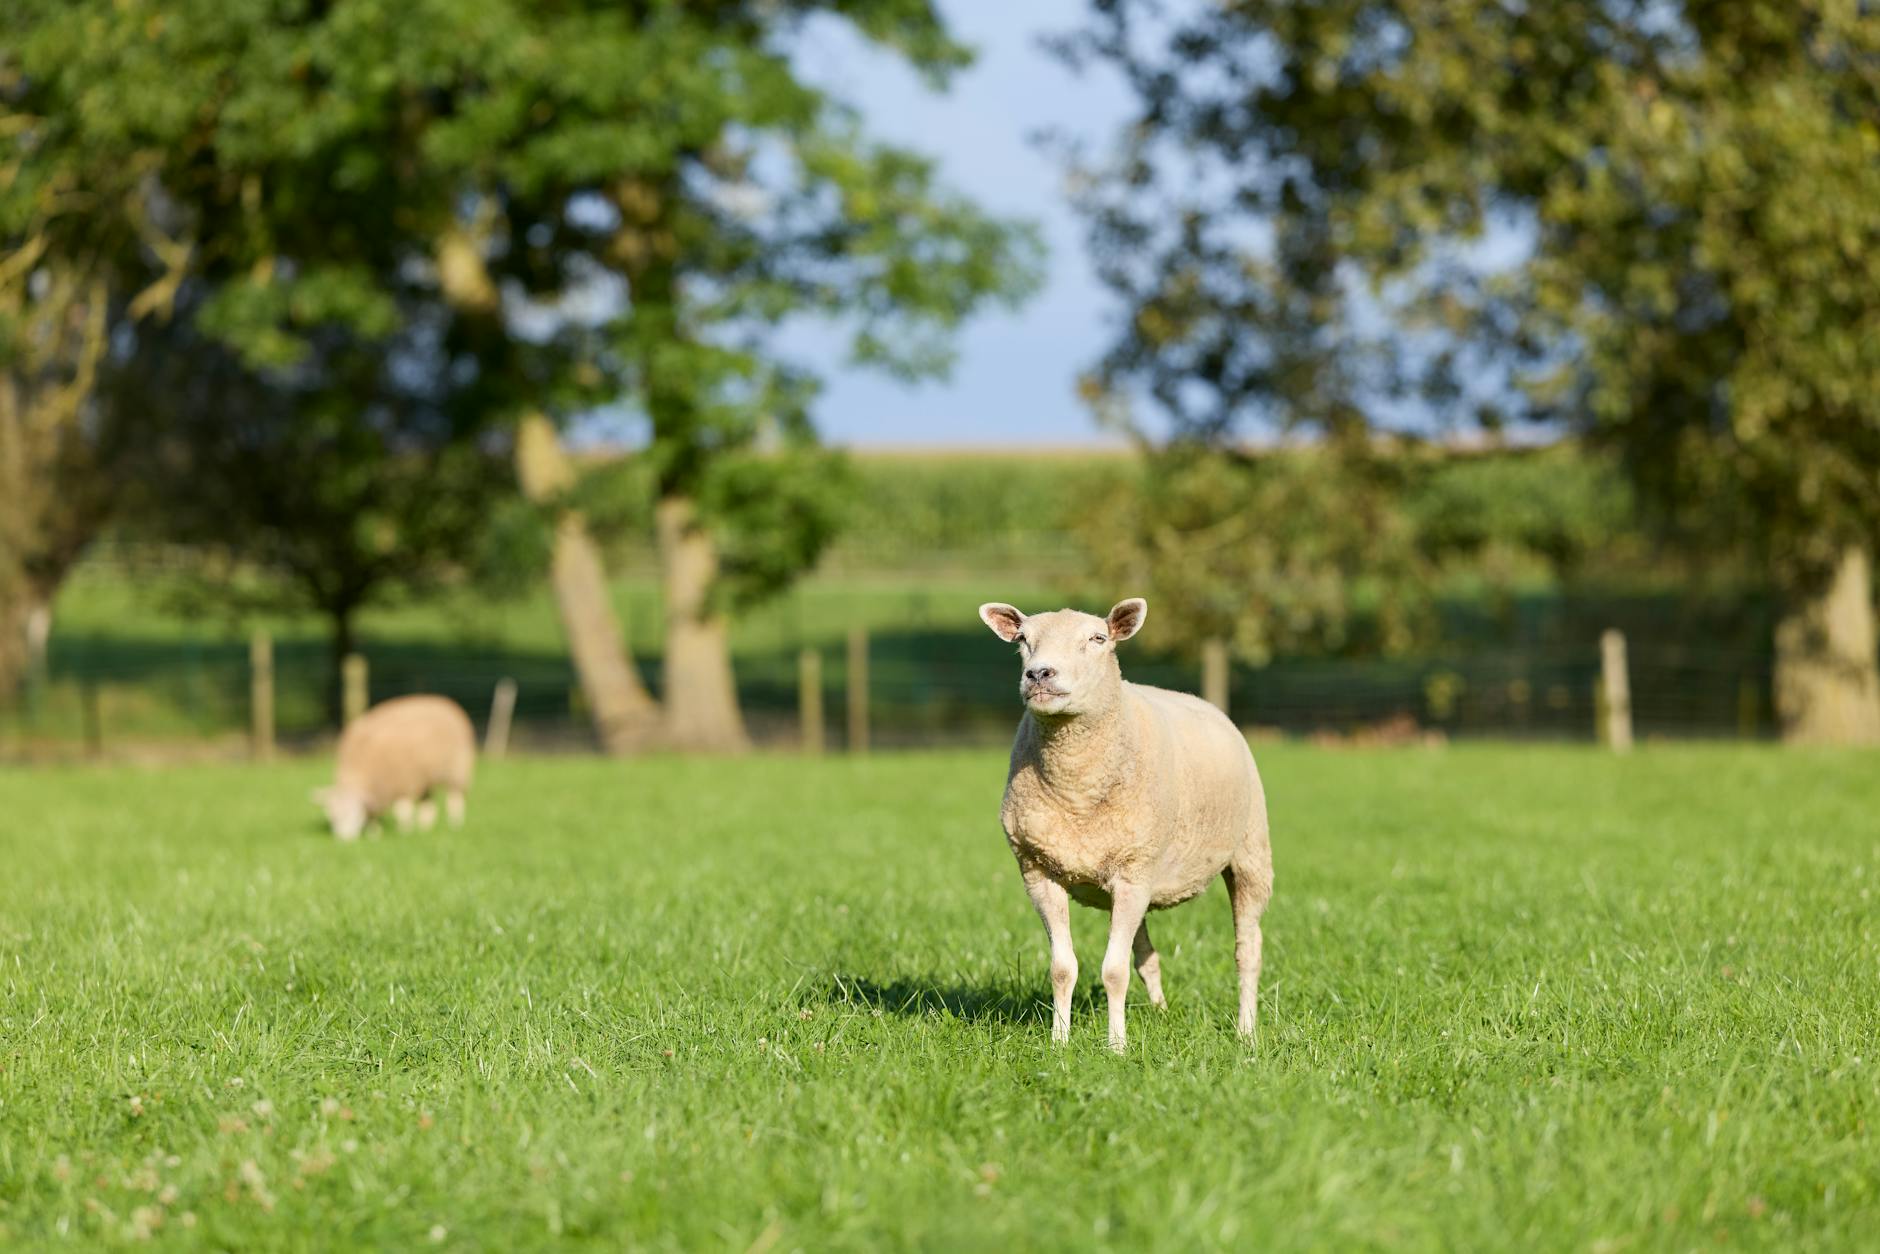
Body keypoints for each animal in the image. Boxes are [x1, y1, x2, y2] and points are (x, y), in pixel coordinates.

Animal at [312, 695, 476, 841]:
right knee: (428, 804)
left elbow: (403, 812)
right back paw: (425, 828)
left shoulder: (404, 782)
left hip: (457, 770)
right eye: (332, 815)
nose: (343, 840)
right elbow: (375, 815)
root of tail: (446, 702)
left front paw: (404, 832)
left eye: (354, 813)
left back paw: (454, 824)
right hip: (426, 779)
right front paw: (374, 833)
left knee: (455, 798)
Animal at [979, 597, 1272, 1052]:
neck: (1077, 791)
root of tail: (1202, 701)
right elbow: (1063, 968)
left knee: (1248, 950)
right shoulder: (1040, 871)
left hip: (1249, 853)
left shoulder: (1134, 873)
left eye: (1098, 638)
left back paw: (1246, 1031)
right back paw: (1161, 1012)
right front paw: (1059, 1042)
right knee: (1146, 955)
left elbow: (1112, 971)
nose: (1039, 674)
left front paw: (1116, 1047)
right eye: (1023, 640)